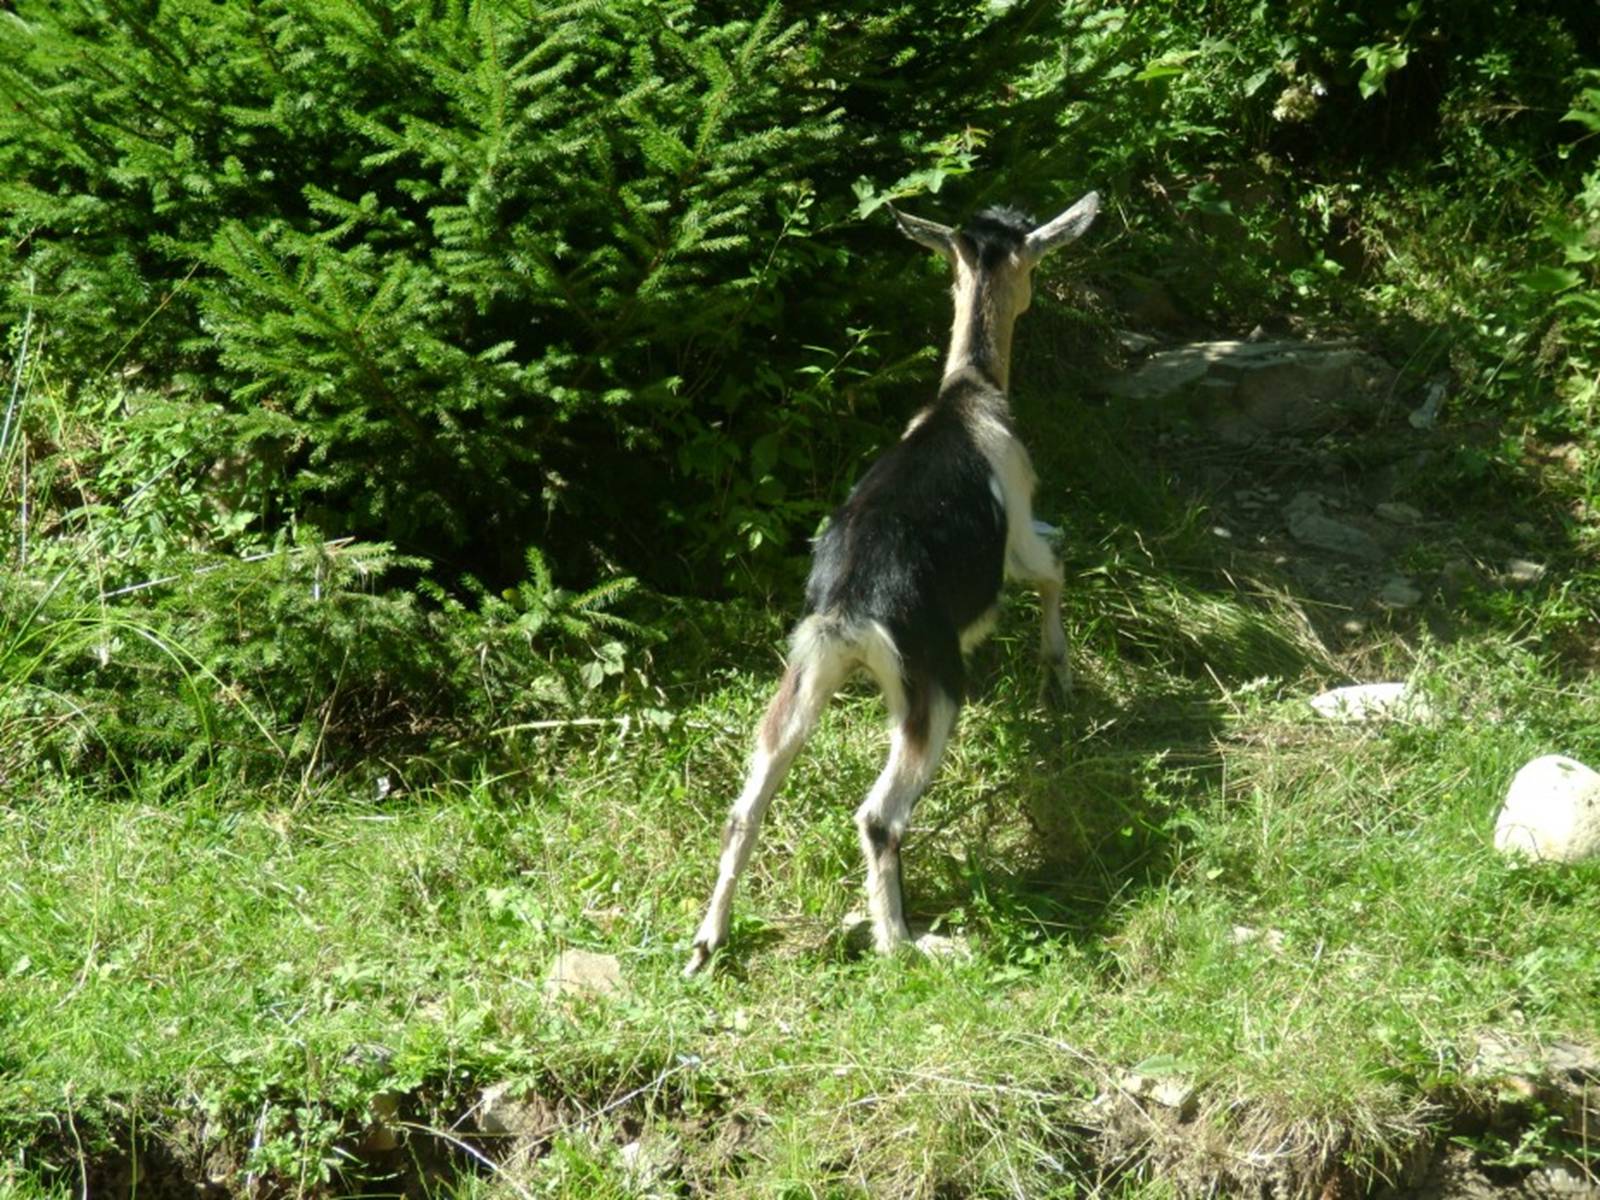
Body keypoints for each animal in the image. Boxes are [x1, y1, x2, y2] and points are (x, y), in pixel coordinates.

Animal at [681, 190, 1107, 979]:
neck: (968, 396)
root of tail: (848, 609)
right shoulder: (1017, 530)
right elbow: (1055, 566)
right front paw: (1059, 682)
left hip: (805, 672)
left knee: (747, 802)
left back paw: (706, 944)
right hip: (930, 685)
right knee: (879, 816)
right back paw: (910, 942)